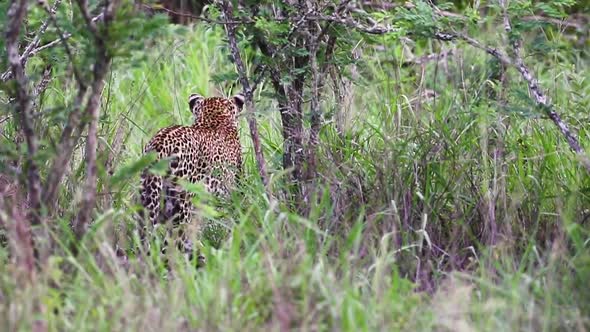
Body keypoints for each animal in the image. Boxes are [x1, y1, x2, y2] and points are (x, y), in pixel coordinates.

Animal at [139, 92, 245, 262]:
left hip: (148, 200)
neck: (214, 118)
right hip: (181, 210)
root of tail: (160, 144)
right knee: (171, 248)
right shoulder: (234, 186)